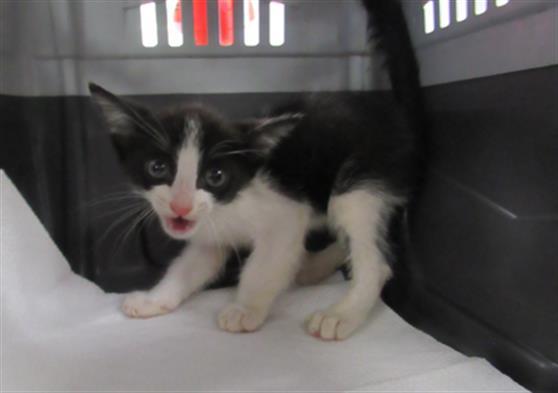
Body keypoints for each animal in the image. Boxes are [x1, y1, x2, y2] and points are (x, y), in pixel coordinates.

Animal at [91, 0, 424, 338]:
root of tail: (395, 115)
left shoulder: (285, 217)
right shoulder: (209, 233)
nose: (180, 205)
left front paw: (245, 308)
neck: (230, 204)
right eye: (157, 167)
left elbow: (263, 266)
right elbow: (190, 266)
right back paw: (313, 267)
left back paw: (342, 313)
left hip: (362, 180)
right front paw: (155, 299)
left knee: (372, 255)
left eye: (216, 176)